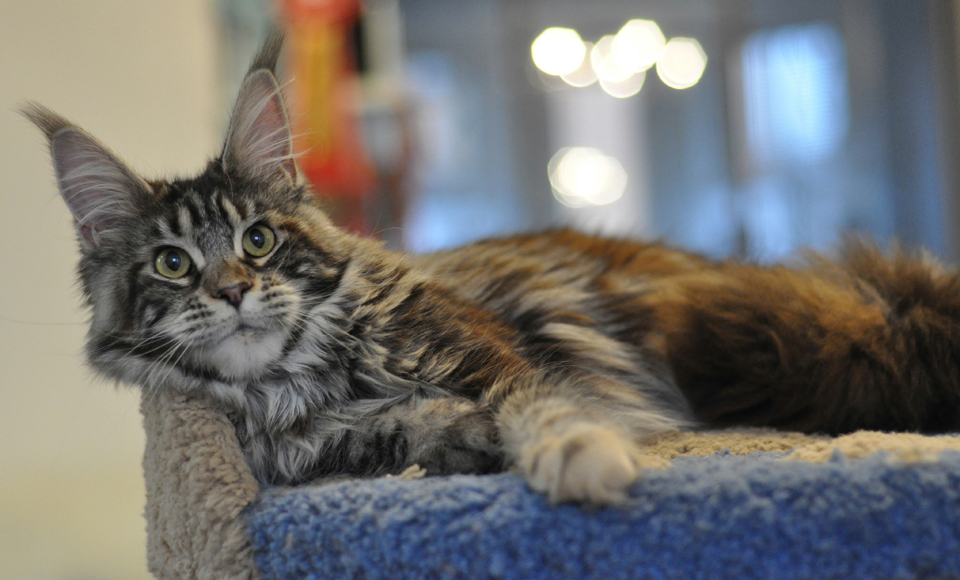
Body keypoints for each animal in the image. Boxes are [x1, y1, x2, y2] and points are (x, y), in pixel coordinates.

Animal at [20, 32, 960, 502]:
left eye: (257, 241)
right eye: (173, 264)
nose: (234, 290)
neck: (301, 380)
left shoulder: (495, 356)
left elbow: (537, 406)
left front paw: (579, 456)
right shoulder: (315, 449)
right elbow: (414, 432)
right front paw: (458, 446)